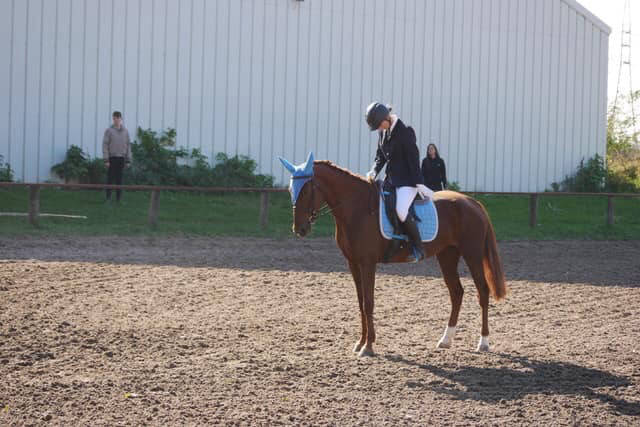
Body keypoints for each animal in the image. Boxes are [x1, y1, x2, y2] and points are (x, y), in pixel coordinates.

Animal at [282, 157, 508, 358]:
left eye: (306, 190)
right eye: (291, 190)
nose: (299, 229)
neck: (357, 207)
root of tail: (472, 202)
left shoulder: (367, 263)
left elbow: (368, 303)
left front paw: (368, 347)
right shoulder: (353, 263)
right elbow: (360, 303)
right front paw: (360, 343)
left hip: (472, 254)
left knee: (482, 292)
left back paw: (483, 342)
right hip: (447, 255)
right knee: (457, 293)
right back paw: (445, 340)